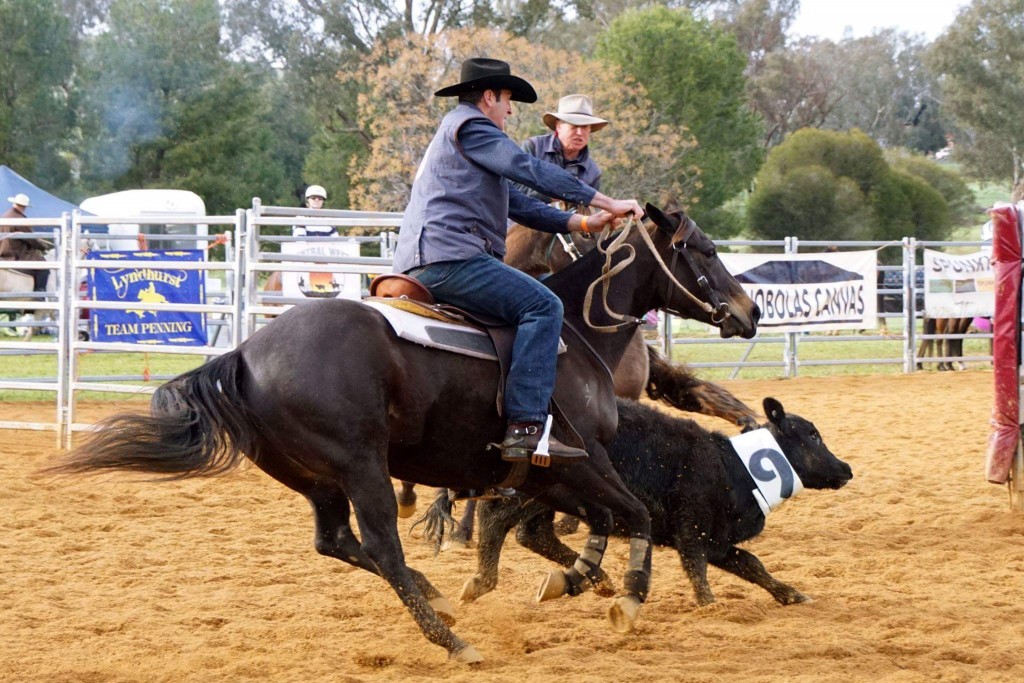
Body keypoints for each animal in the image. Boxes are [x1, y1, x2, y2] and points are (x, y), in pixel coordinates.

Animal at [48, 202, 757, 663]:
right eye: (703, 250)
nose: (748, 312)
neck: (575, 333)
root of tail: (245, 354)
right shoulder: (578, 458)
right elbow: (629, 513)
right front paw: (625, 600)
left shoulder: (548, 472)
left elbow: (587, 522)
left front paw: (580, 580)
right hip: (361, 466)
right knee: (380, 546)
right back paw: (452, 640)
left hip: (313, 476)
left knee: (335, 542)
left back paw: (436, 598)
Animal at [460, 397, 851, 606]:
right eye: (813, 435)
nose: (845, 469)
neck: (733, 466)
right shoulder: (692, 527)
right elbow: (696, 567)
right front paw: (709, 605)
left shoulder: (718, 540)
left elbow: (751, 563)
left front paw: (791, 594)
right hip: (535, 491)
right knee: (495, 517)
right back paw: (481, 581)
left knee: (533, 533)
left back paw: (596, 578)